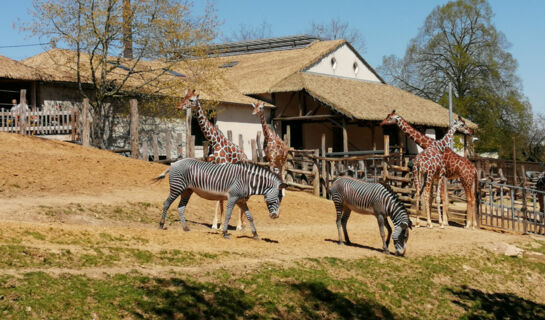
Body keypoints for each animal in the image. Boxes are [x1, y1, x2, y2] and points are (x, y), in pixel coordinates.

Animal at [151, 158, 286, 238]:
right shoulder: (233, 198)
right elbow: (228, 215)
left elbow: (250, 217)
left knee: (180, 207)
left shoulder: (241, 201)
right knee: (166, 203)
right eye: (278, 198)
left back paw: (185, 228)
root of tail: (174, 163)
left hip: (187, 191)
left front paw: (255, 234)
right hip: (177, 187)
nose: (275, 216)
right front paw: (225, 232)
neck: (248, 181)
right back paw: (161, 225)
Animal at [176, 89, 246, 231]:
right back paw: (241, 224)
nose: (179, 106)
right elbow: (218, 197)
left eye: (191, 100)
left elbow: (220, 197)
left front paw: (221, 225)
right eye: (183, 97)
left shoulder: (223, 166)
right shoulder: (213, 166)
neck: (214, 141)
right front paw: (215, 224)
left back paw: (239, 225)